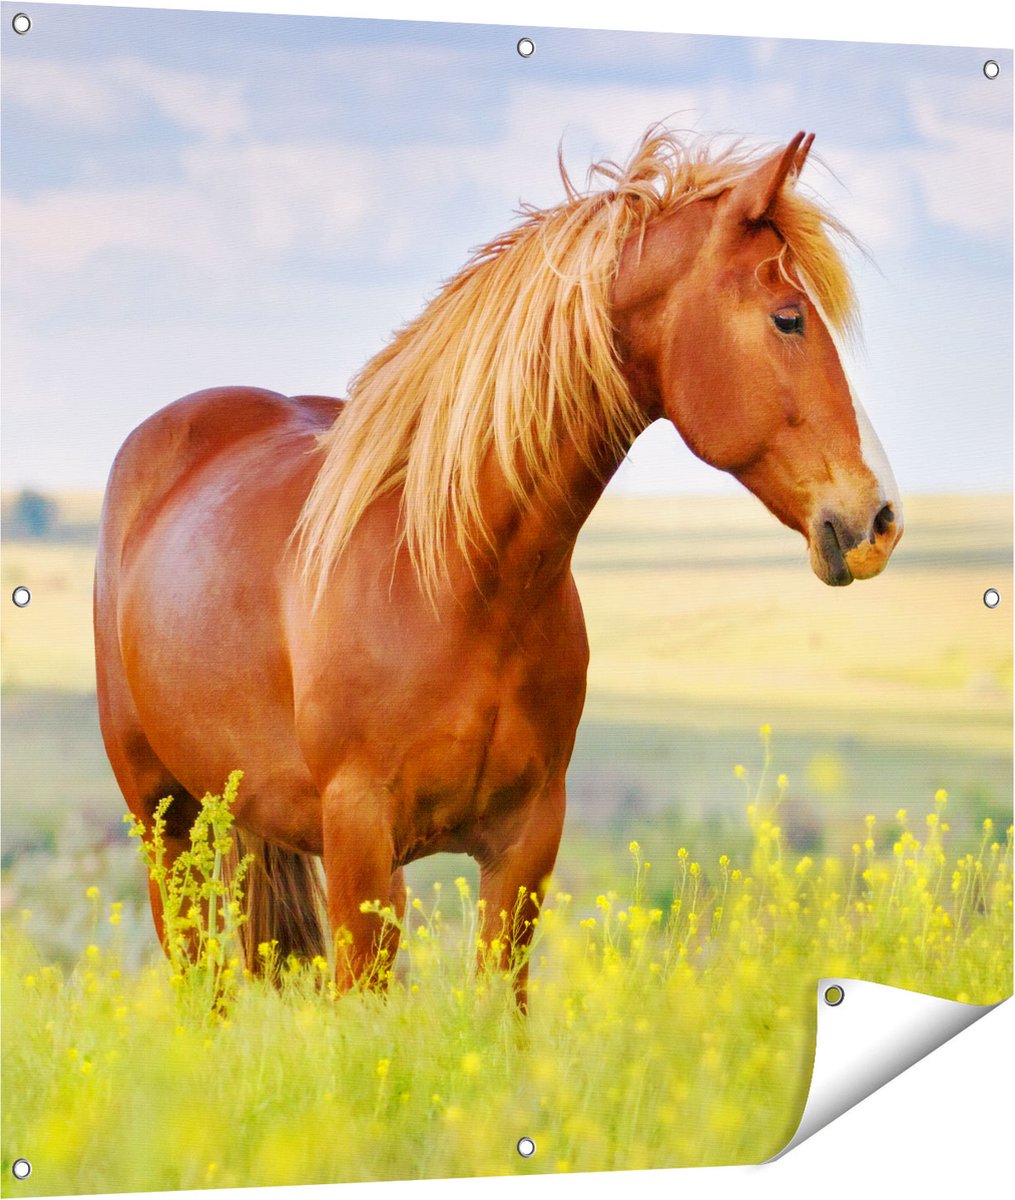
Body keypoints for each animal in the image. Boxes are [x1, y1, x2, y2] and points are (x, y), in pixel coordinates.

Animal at [94, 128, 903, 1003]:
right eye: (788, 319)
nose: (879, 518)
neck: (458, 579)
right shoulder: (358, 837)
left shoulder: (523, 844)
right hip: (168, 826)